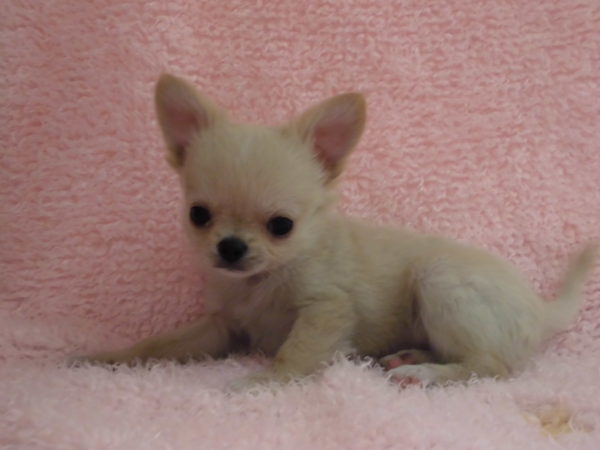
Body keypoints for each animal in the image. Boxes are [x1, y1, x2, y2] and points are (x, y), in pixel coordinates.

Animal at [76, 74, 596, 390]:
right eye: (199, 215)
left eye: (281, 227)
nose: (230, 247)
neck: (262, 282)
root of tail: (541, 308)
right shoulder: (220, 325)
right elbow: (160, 345)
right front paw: (107, 359)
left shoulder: (326, 311)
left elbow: (294, 353)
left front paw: (263, 384)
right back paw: (409, 357)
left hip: (440, 280)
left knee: (491, 367)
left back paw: (423, 373)